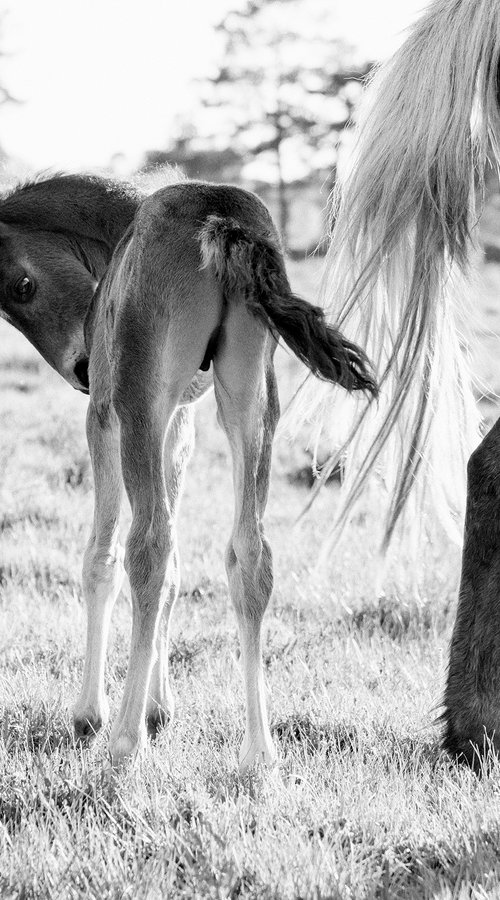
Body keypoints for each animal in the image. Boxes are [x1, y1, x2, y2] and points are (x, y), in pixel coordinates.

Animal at [0, 176, 376, 772]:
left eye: (22, 286)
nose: (80, 369)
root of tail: (219, 214)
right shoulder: (180, 421)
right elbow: (178, 565)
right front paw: (160, 709)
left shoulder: (107, 416)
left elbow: (103, 558)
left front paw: (91, 715)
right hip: (250, 398)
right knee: (249, 552)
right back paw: (258, 751)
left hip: (136, 403)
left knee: (148, 545)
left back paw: (124, 742)